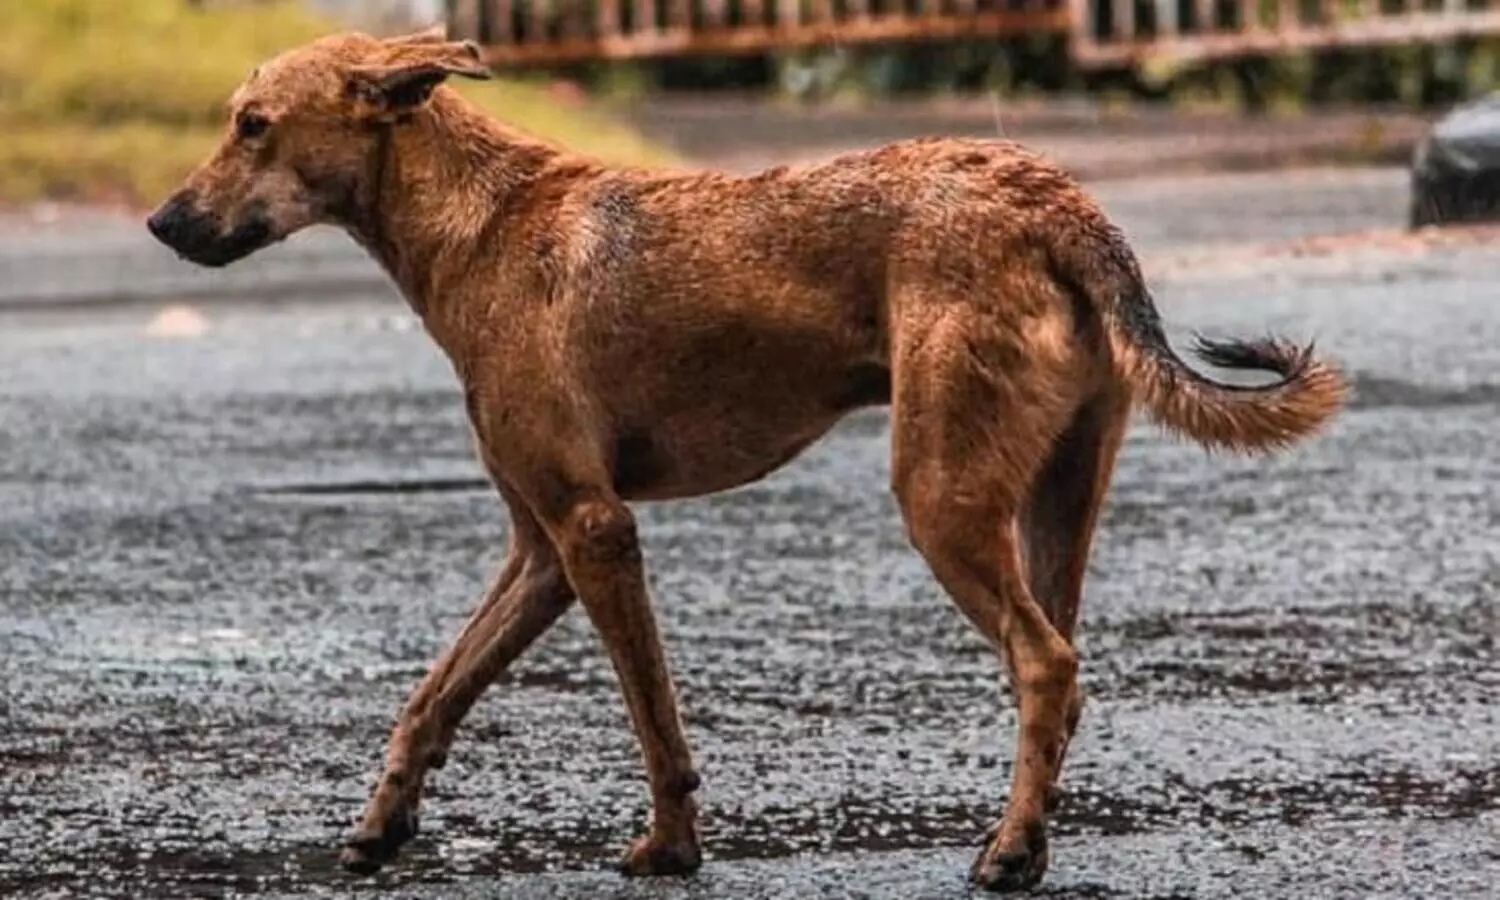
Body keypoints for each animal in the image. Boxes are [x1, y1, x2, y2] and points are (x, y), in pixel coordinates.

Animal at [145, 26, 1347, 892]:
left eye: (252, 126)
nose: (159, 223)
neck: (476, 224)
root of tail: (1057, 199)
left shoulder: (593, 532)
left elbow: (652, 716)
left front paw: (671, 848)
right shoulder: (537, 550)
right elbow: (434, 695)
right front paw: (381, 825)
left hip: (940, 497)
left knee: (1045, 664)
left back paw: (1007, 855)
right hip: (1053, 496)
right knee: (1058, 667)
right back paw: (1028, 837)